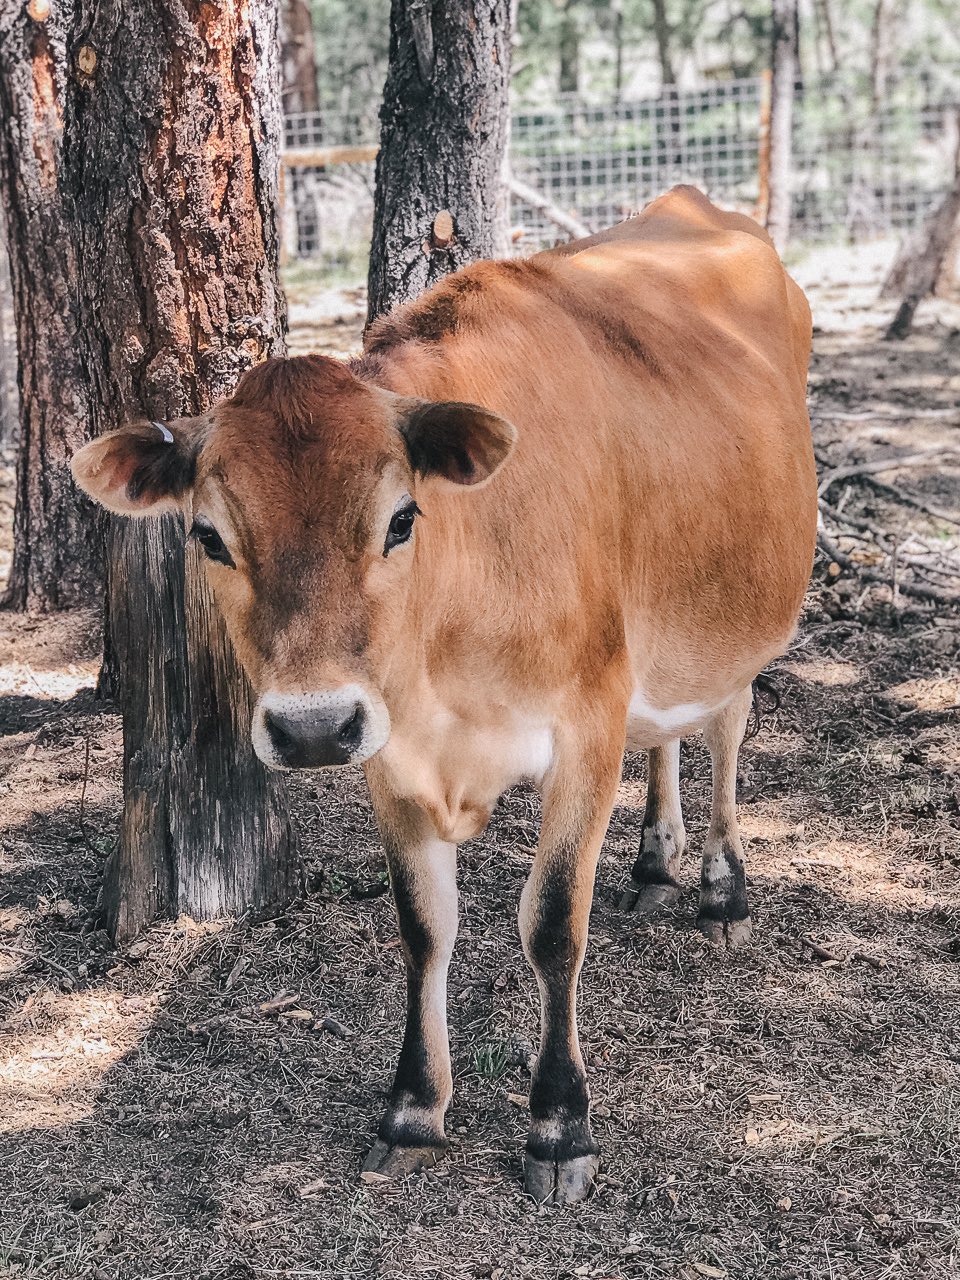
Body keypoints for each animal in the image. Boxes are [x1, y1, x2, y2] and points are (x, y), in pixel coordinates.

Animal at [71, 186, 819, 1198]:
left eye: (400, 519)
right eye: (209, 537)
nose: (311, 728)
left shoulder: (586, 723)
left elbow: (552, 925)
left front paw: (559, 1125)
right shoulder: (389, 750)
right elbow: (424, 928)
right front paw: (415, 1107)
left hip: (738, 618)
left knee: (729, 724)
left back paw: (720, 887)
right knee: (667, 732)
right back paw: (653, 863)